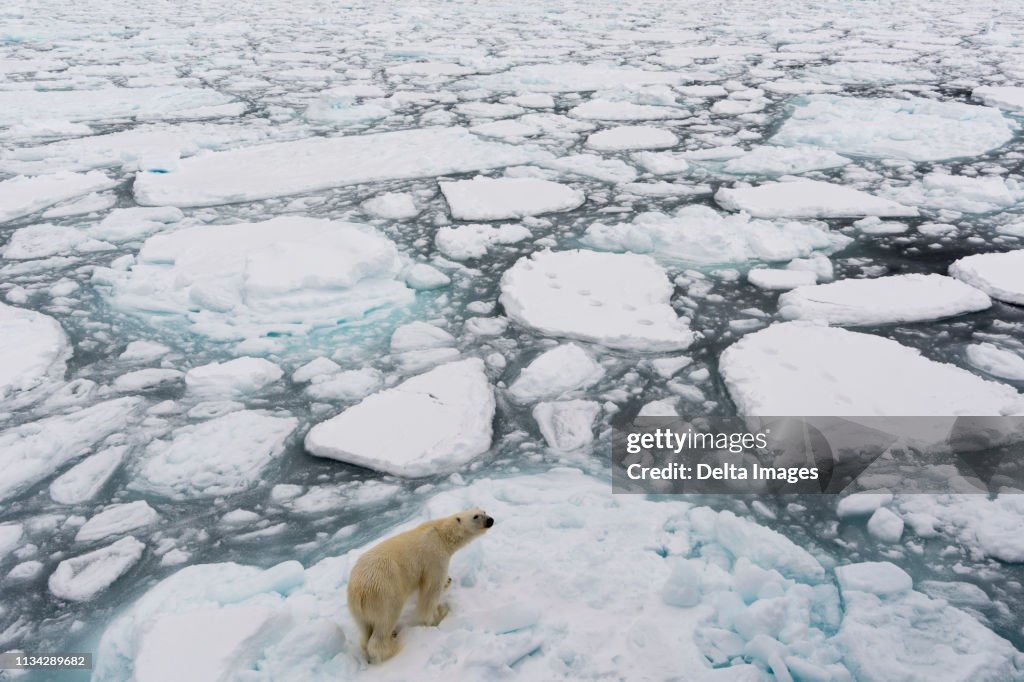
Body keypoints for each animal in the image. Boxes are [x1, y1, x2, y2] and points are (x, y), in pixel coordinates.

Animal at [347, 507, 494, 663]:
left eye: (484, 511)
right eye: (475, 516)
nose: (490, 520)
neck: (441, 534)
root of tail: (358, 593)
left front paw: (448, 581)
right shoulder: (434, 557)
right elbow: (431, 591)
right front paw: (438, 615)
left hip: (359, 611)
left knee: (365, 629)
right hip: (384, 593)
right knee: (386, 620)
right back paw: (391, 648)